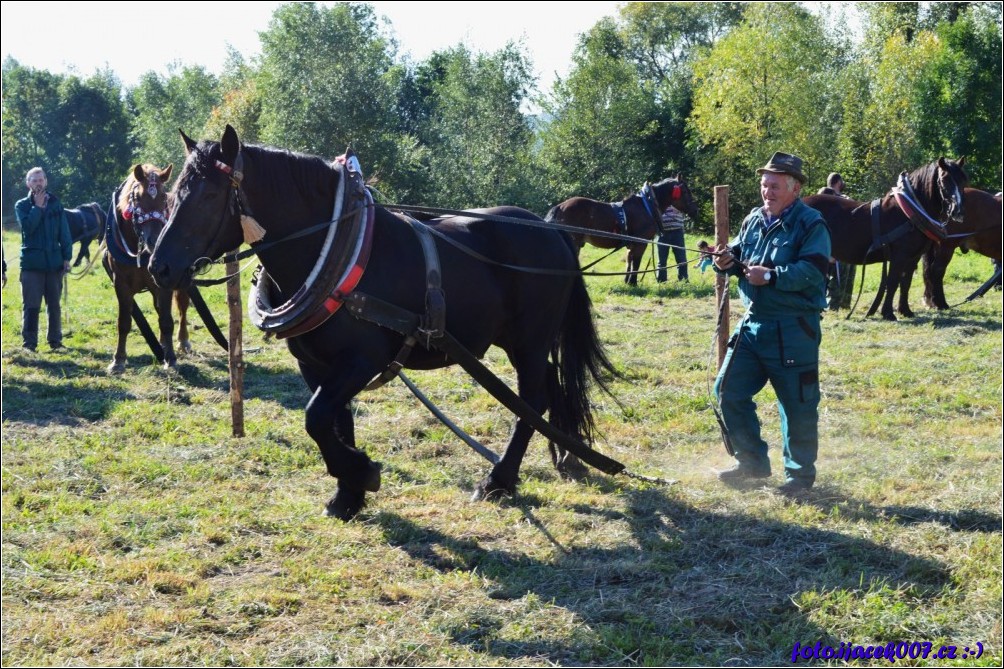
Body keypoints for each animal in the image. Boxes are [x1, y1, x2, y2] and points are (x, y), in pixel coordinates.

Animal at [103, 160, 191, 369]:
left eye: (163, 197)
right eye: (137, 197)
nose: (155, 240)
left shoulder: (164, 282)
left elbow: (166, 320)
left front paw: (171, 358)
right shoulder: (120, 283)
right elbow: (124, 321)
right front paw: (118, 360)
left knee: (182, 305)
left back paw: (182, 341)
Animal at [546, 175, 702, 283]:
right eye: (686, 191)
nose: (695, 210)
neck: (648, 205)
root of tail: (560, 207)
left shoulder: (631, 244)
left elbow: (629, 260)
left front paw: (627, 281)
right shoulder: (641, 242)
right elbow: (636, 262)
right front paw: (633, 282)